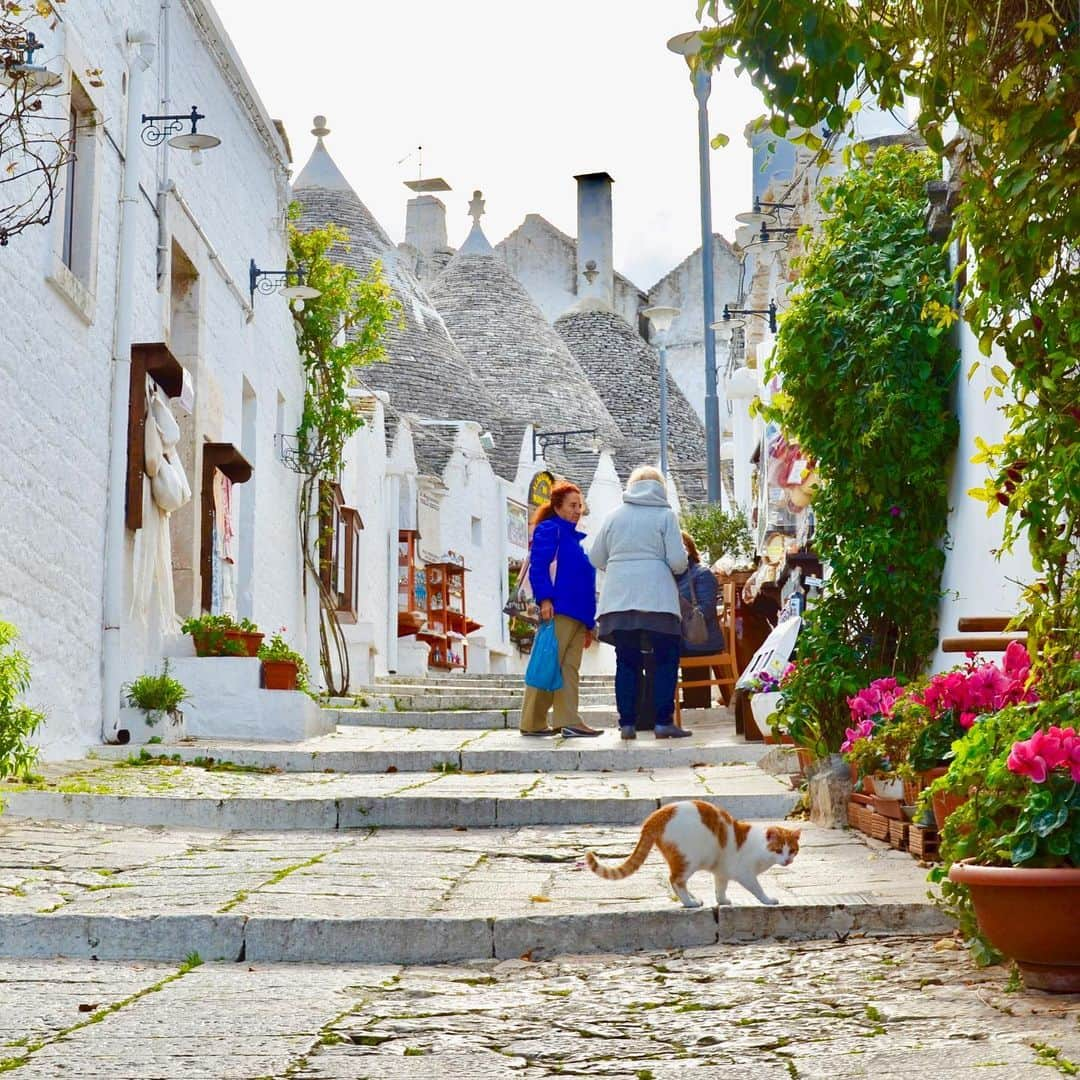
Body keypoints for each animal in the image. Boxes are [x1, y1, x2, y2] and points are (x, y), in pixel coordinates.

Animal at [583, 799, 803, 907]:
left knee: (679, 881)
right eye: (778, 849)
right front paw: (768, 900)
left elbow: (720, 889)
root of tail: (656, 816)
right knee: (675, 881)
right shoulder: (745, 874)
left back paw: (693, 898)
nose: (787, 860)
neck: (757, 845)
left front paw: (722, 901)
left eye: (792, 850)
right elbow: (758, 889)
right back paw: (689, 903)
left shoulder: (722, 872)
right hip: (688, 860)